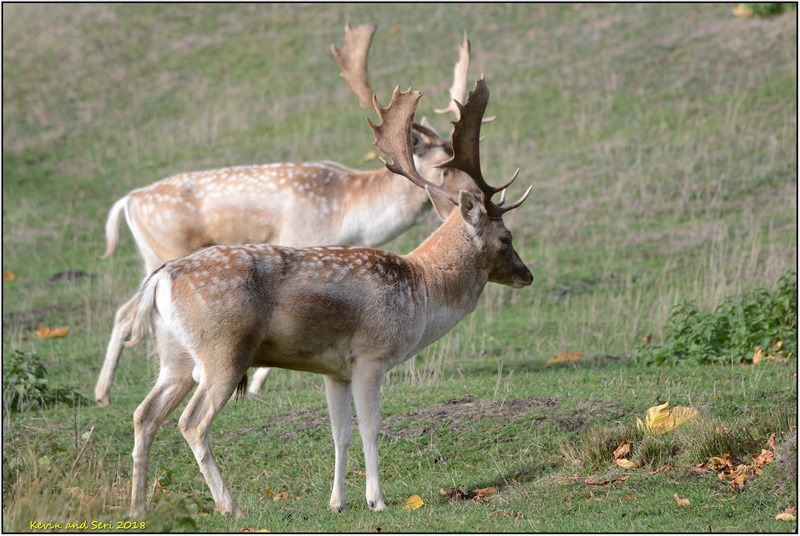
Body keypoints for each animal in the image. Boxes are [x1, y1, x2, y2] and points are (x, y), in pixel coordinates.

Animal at [94, 23, 482, 404]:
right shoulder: (300, 238)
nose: (476, 197)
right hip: (165, 249)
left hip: (152, 259)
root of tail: (128, 200)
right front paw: (256, 384)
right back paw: (102, 393)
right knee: (126, 311)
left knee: (125, 311)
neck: (348, 212)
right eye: (443, 165)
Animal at [126, 77, 532, 516]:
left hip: (174, 356)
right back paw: (229, 506)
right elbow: (371, 428)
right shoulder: (371, 356)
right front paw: (377, 500)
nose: (527, 275)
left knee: (144, 414)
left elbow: (340, 432)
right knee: (192, 423)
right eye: (506, 237)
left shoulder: (334, 370)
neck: (421, 292)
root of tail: (160, 280)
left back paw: (137, 508)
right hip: (223, 350)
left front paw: (337, 501)